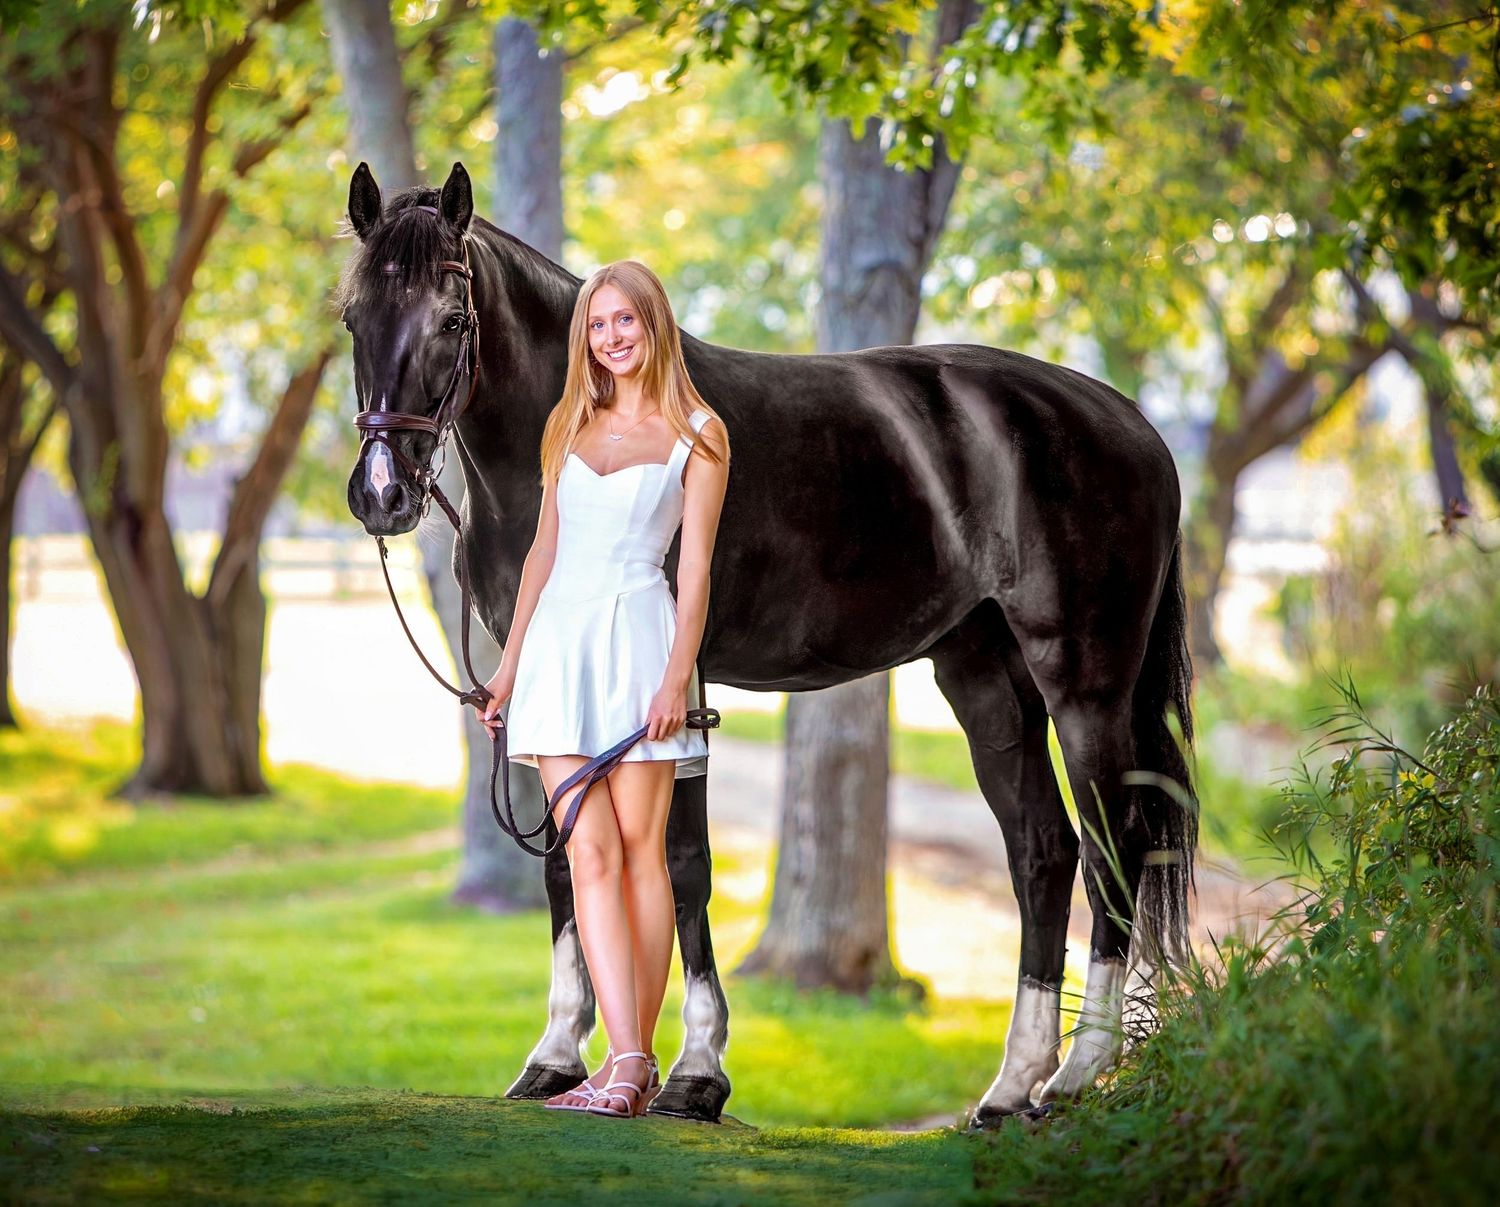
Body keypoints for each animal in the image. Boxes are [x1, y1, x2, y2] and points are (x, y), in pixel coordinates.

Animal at [337, 160, 1197, 1127]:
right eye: (354, 318)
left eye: (451, 320)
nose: (381, 494)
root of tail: (1131, 423)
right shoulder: (534, 685)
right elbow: (564, 860)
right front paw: (555, 1058)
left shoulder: (682, 688)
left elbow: (684, 864)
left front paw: (695, 1072)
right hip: (984, 676)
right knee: (1042, 851)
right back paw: (1012, 1085)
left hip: (1084, 680)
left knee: (1112, 845)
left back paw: (1079, 1072)